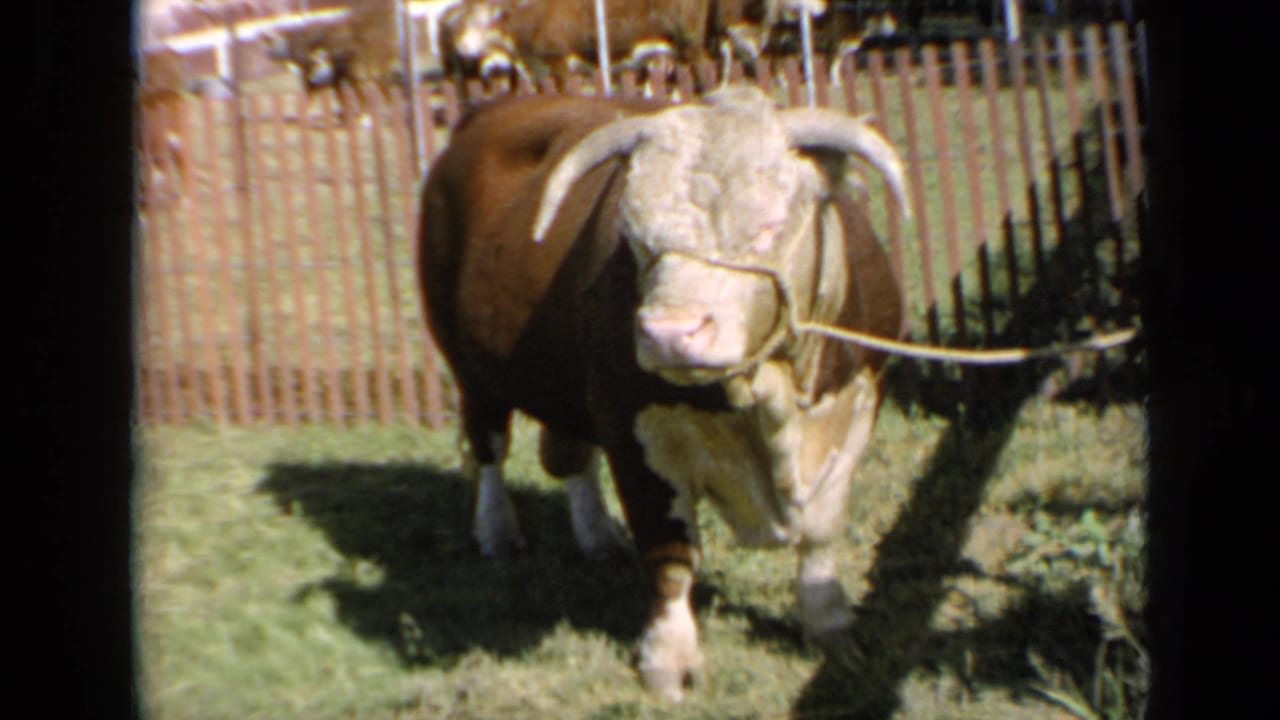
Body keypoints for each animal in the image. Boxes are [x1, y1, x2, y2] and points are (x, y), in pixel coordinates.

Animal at [417, 85, 909, 700]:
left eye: (769, 225)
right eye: (635, 235)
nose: (669, 332)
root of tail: (491, 109)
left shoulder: (858, 406)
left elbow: (821, 529)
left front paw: (830, 624)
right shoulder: (632, 428)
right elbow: (670, 552)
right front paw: (668, 660)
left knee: (569, 454)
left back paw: (598, 536)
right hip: (472, 372)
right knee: (490, 451)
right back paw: (498, 532)